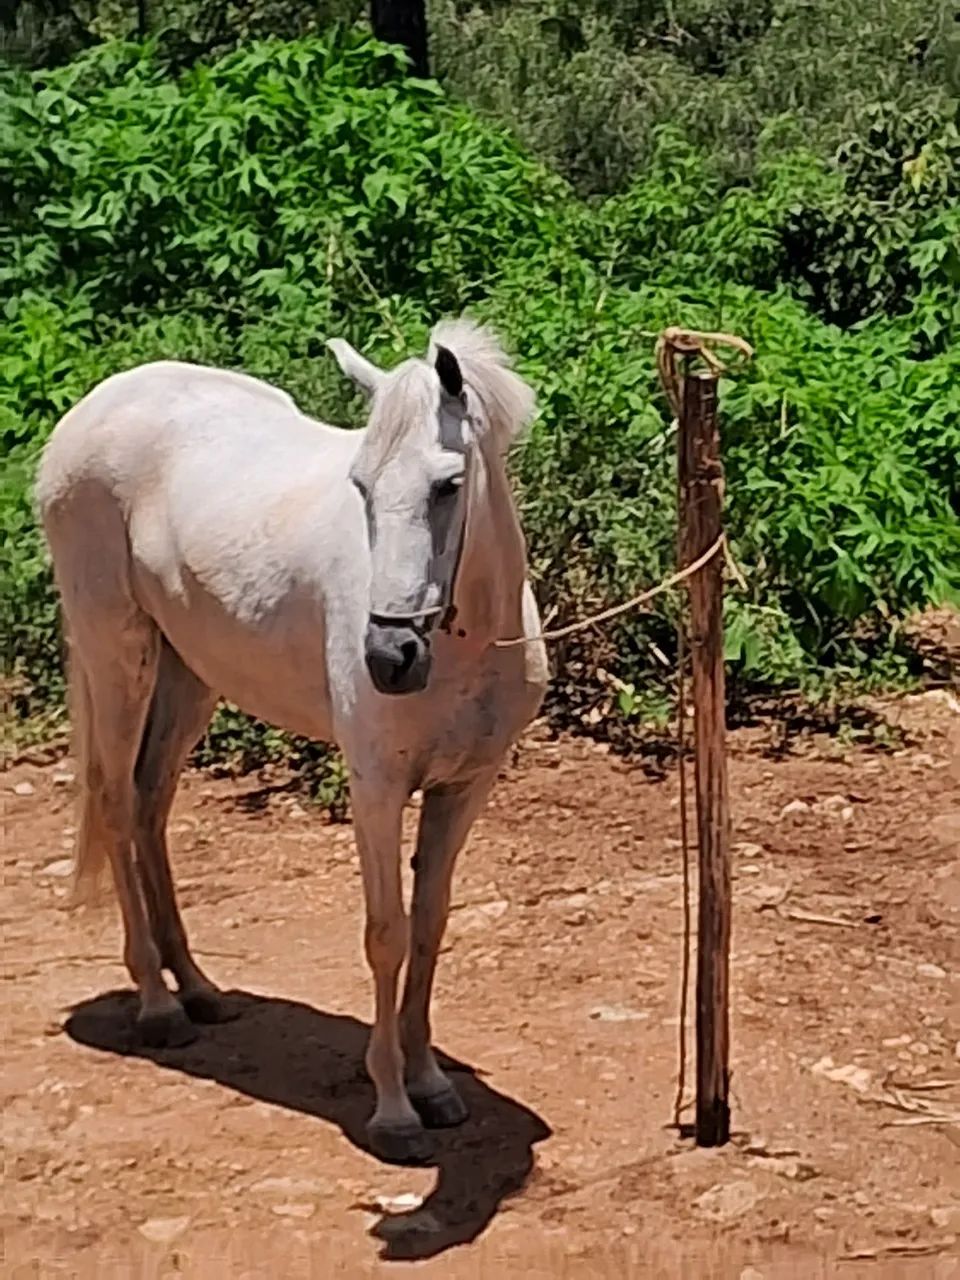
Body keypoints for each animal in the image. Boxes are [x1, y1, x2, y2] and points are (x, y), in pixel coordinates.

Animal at [35, 318, 548, 1164]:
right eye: (361, 487)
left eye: (448, 485)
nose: (389, 657)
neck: (467, 646)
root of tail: (95, 406)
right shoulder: (376, 787)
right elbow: (386, 934)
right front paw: (394, 1109)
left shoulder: (464, 787)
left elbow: (431, 925)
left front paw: (431, 1084)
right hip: (118, 654)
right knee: (112, 800)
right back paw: (158, 1006)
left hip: (188, 675)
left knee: (147, 804)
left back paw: (198, 989)